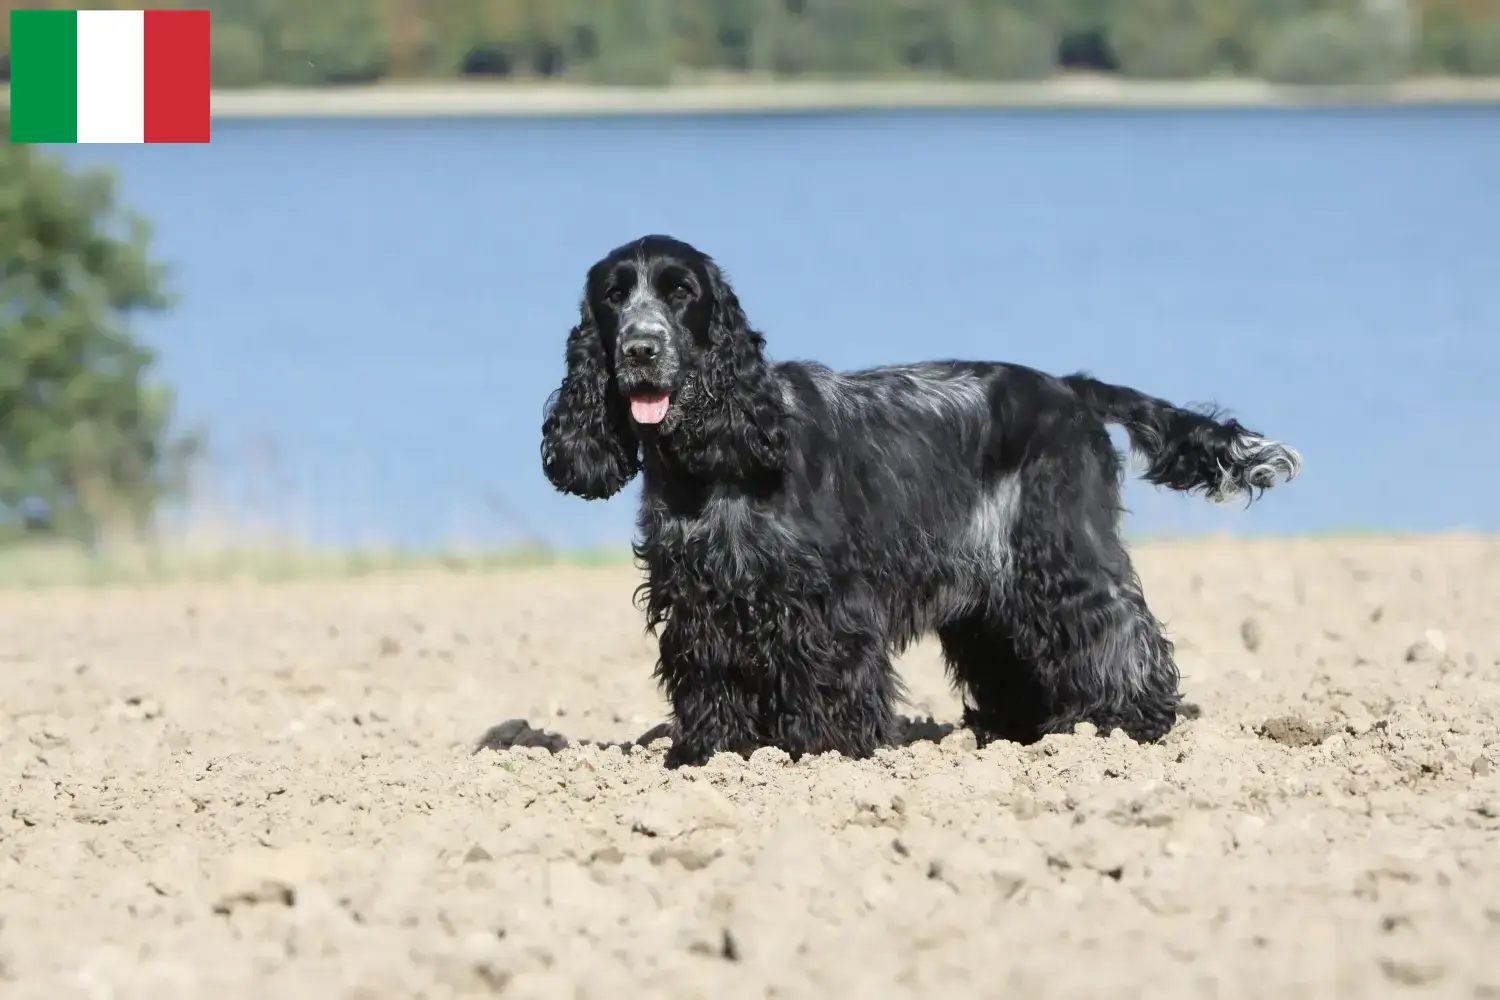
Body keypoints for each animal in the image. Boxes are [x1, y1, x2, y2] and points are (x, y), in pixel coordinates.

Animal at [540, 235, 1302, 767]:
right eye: (614, 296)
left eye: (680, 292)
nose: (640, 350)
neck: (714, 461)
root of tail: (1070, 387)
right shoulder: (701, 598)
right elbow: (710, 675)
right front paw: (710, 752)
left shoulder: (826, 600)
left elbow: (832, 676)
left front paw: (830, 749)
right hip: (994, 591)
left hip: (1061, 551)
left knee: (1121, 630)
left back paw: (1124, 724)